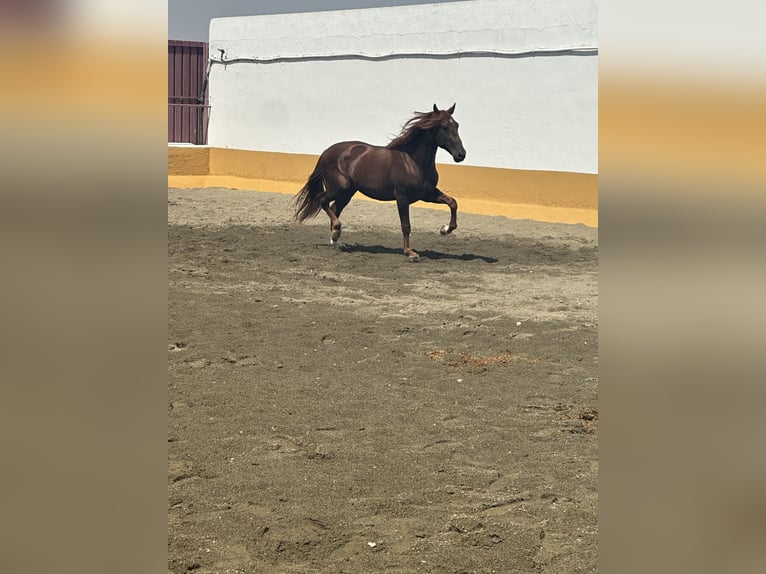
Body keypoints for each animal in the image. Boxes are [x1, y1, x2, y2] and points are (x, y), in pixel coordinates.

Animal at [292, 103, 466, 260]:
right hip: (340, 188)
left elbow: (453, 202)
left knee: (334, 208)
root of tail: (326, 152)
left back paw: (337, 241)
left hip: (347, 193)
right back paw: (336, 232)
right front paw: (410, 253)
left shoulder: (427, 194)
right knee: (322, 200)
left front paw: (445, 229)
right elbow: (406, 226)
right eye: (444, 127)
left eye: (457, 125)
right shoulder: (402, 197)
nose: (461, 154)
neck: (412, 162)